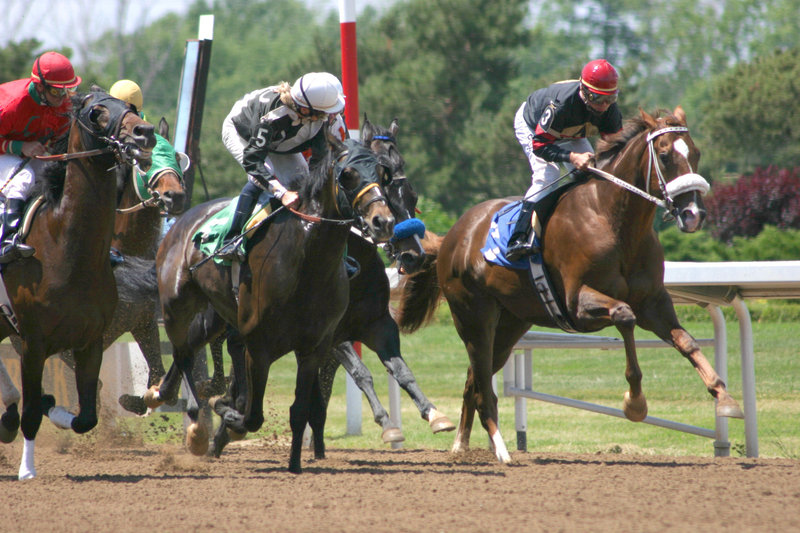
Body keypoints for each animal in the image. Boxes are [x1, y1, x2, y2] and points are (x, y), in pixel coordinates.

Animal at [0, 91, 155, 478]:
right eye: (96, 112)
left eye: (129, 108)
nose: (144, 132)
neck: (67, 249)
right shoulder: (33, 342)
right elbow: (31, 413)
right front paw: (27, 469)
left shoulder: (90, 341)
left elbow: (86, 416)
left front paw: (54, 408)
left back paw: (7, 417)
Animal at [396, 107, 748, 462]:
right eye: (664, 155)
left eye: (696, 153)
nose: (693, 214)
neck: (613, 220)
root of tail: (453, 236)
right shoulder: (577, 303)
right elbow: (624, 316)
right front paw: (635, 402)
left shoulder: (654, 303)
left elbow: (686, 342)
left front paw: (725, 398)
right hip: (473, 318)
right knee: (483, 387)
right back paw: (501, 450)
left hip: (510, 324)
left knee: (473, 381)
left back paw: (461, 446)